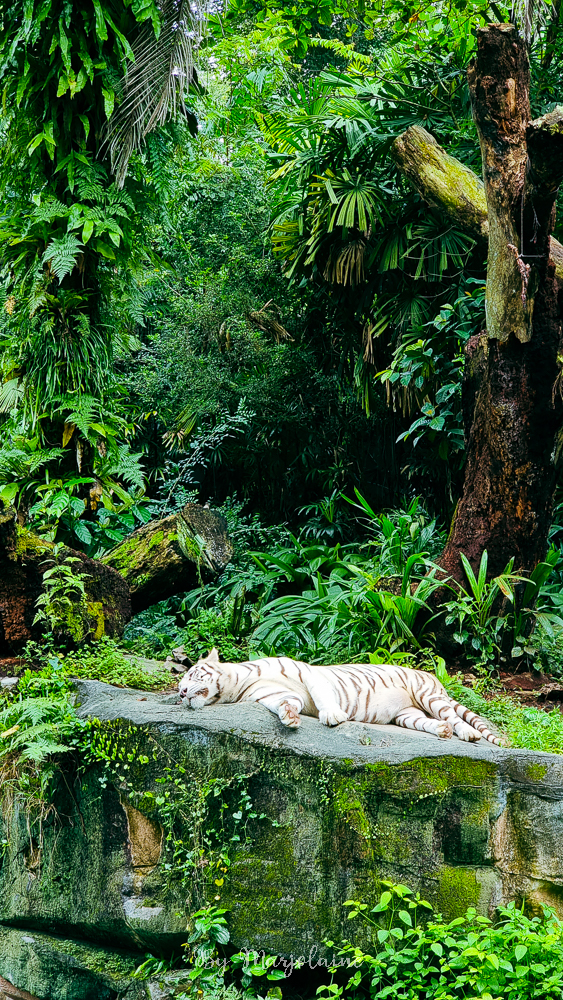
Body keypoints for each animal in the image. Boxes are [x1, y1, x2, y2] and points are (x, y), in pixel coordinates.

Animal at [177, 648, 502, 744]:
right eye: (180, 686)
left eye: (192, 674)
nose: (180, 693)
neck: (237, 684)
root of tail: (434, 676)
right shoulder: (272, 695)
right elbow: (284, 703)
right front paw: (289, 717)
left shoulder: (309, 674)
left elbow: (321, 696)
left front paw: (332, 716)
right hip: (407, 715)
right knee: (432, 722)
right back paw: (442, 731)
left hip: (428, 696)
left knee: (455, 717)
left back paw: (468, 734)